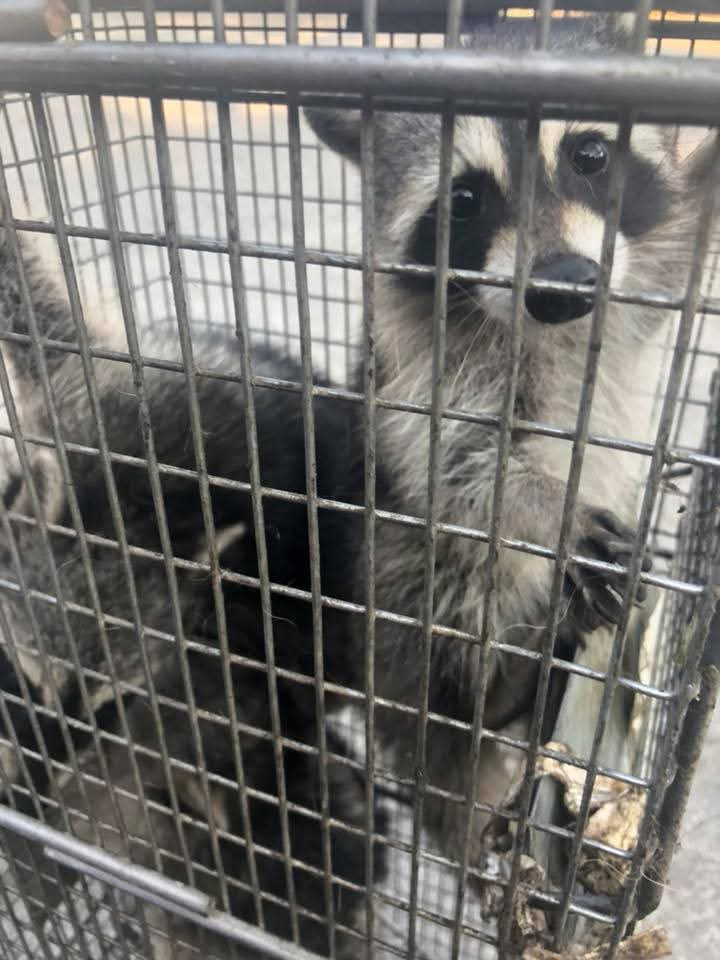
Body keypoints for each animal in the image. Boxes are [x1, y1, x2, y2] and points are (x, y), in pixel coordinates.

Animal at [304, 14, 716, 866]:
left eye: (588, 155)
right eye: (464, 200)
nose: (562, 287)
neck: (553, 331)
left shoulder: (632, 275)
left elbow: (685, 243)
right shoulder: (421, 367)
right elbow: (459, 460)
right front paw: (550, 508)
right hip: (389, 595)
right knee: (454, 585)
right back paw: (492, 691)